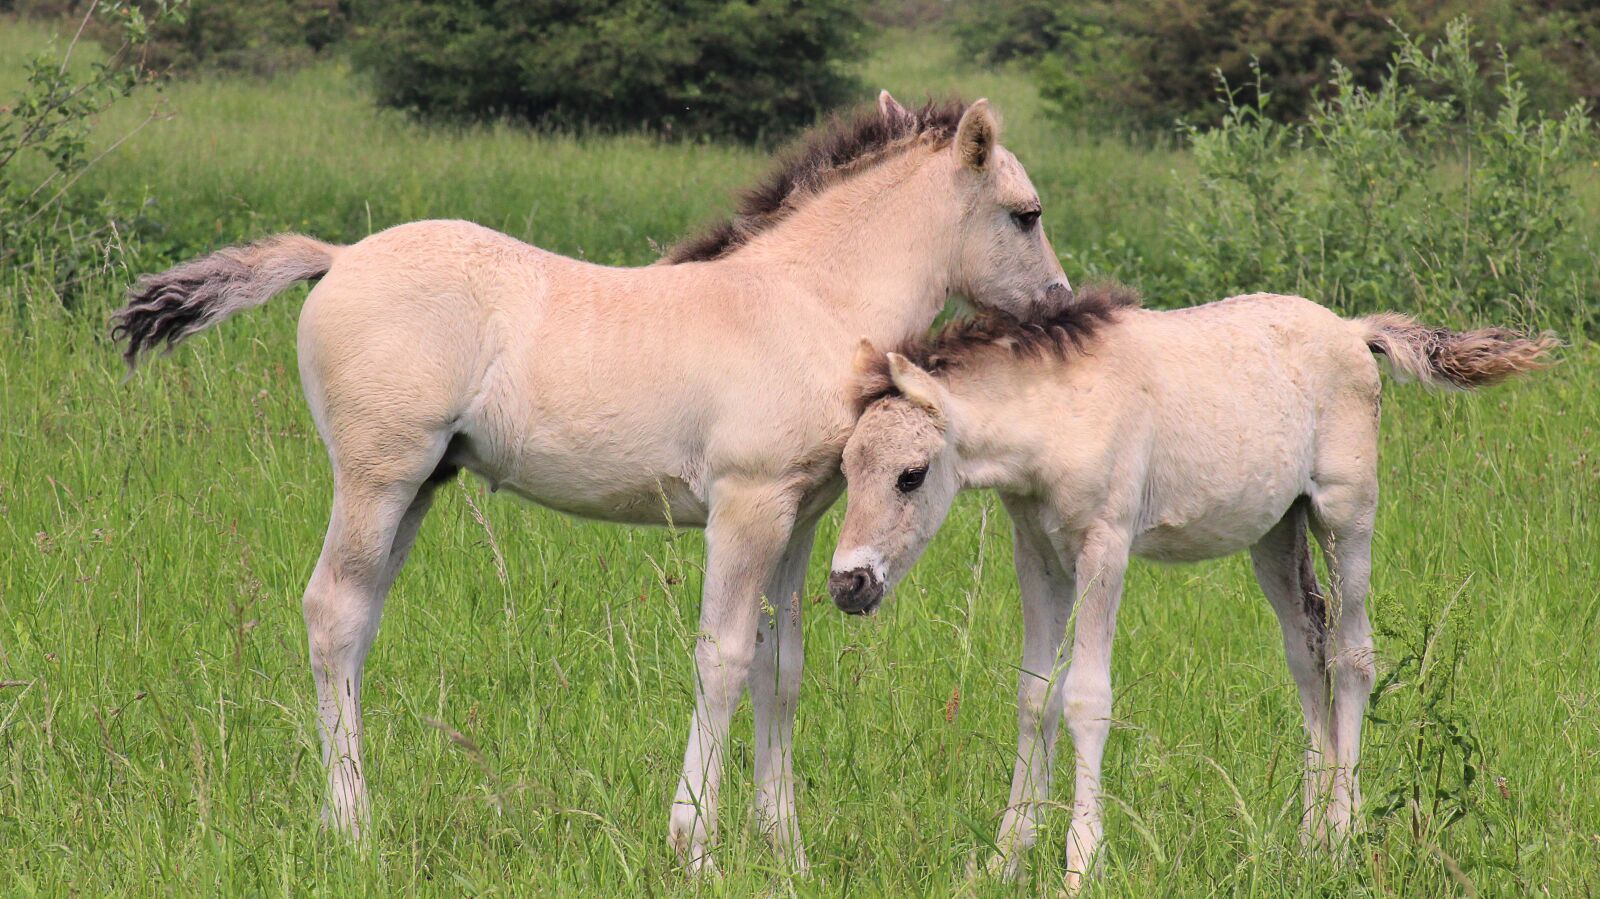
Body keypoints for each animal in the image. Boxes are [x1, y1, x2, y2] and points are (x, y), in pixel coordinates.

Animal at [110, 92, 1074, 871]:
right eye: (1026, 214)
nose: (1061, 305)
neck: (808, 300)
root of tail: (338, 255)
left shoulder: (802, 516)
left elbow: (782, 667)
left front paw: (787, 852)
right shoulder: (747, 504)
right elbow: (723, 658)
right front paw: (694, 846)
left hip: (420, 486)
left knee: (359, 622)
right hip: (378, 474)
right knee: (332, 612)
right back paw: (351, 827)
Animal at [826, 287, 1555, 890]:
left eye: (912, 474)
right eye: (846, 468)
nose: (847, 583)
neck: (1060, 413)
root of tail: (1354, 329)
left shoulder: (1105, 547)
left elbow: (1086, 698)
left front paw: (1081, 862)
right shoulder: (1036, 552)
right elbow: (1033, 695)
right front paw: (1005, 859)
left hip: (1345, 514)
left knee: (1353, 656)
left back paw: (1344, 837)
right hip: (1275, 529)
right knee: (1307, 650)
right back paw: (1310, 841)